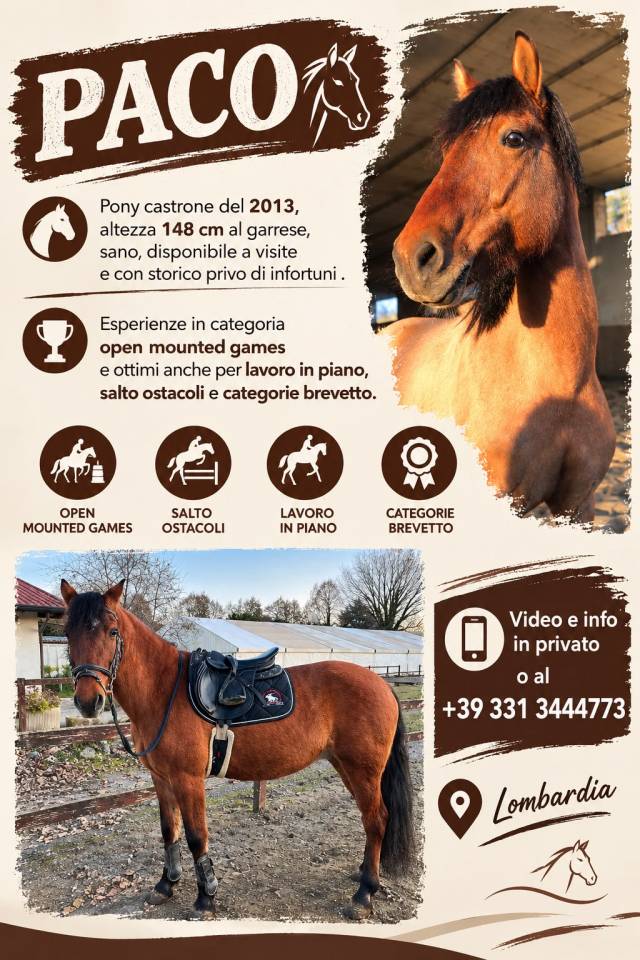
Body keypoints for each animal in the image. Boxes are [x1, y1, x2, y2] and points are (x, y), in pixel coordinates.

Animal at [61, 579, 414, 919]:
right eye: (67, 633)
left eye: (113, 631)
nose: (89, 701)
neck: (164, 691)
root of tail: (383, 685)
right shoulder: (161, 778)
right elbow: (168, 831)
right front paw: (166, 885)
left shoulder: (188, 780)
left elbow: (196, 836)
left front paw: (205, 899)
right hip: (347, 767)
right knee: (370, 820)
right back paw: (364, 875)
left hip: (363, 771)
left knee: (377, 819)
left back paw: (364, 894)